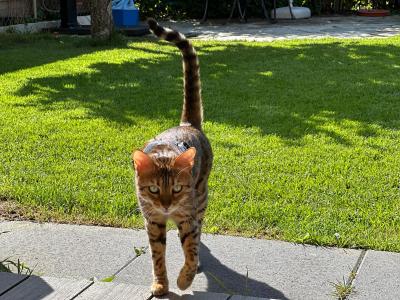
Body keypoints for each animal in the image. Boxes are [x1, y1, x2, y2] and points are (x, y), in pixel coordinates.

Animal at [131, 18, 214, 296]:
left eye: (177, 188)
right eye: (154, 189)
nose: (167, 205)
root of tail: (188, 124)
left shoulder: (187, 216)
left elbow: (191, 249)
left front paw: (184, 279)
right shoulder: (153, 220)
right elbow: (157, 255)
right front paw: (160, 283)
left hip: (201, 196)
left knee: (199, 230)